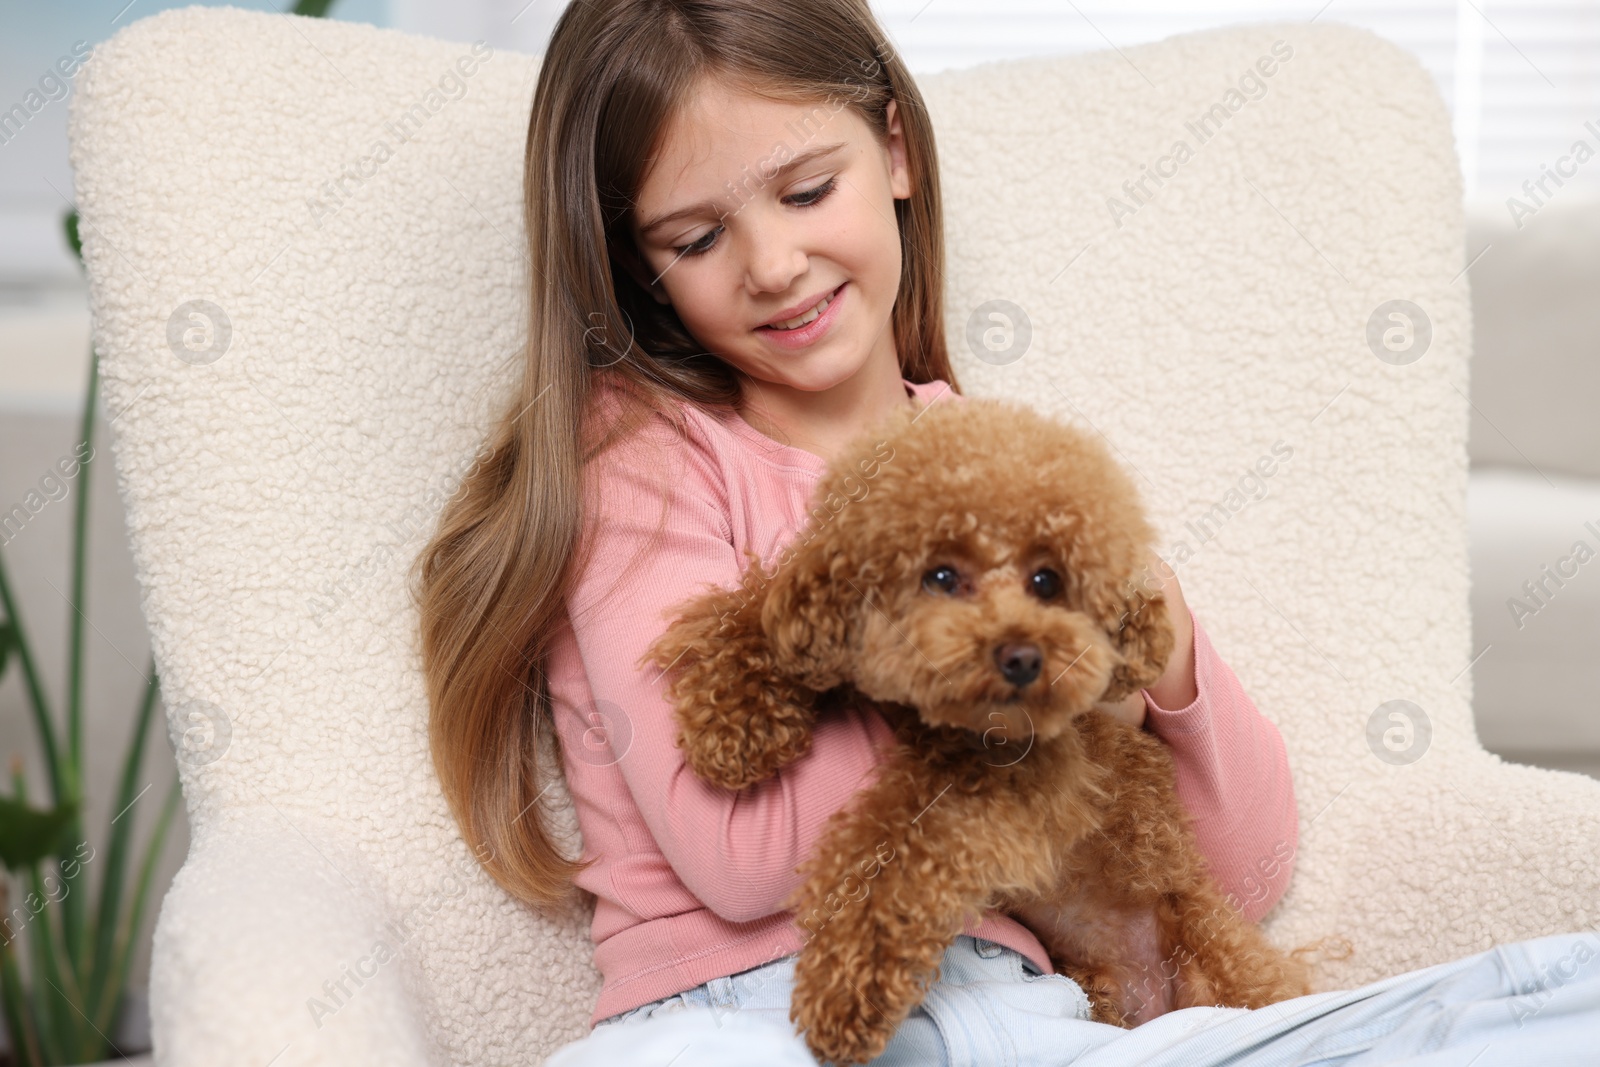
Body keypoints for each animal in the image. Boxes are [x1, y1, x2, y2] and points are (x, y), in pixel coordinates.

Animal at [640, 398, 1337, 1067]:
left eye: (1048, 581)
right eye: (941, 576)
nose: (1022, 657)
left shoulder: (1018, 784)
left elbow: (897, 849)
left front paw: (843, 992)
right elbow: (758, 614)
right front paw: (732, 723)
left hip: (1214, 961)